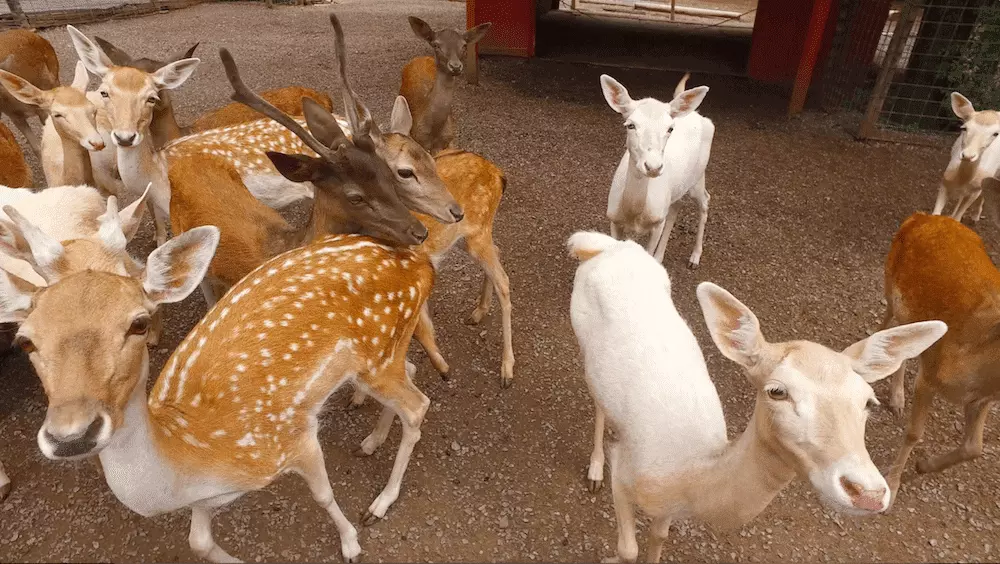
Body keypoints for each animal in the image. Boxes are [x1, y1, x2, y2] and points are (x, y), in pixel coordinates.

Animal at [400, 16, 491, 154]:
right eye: (436, 45)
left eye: (464, 45)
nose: (455, 66)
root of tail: (420, 57)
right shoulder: (419, 138)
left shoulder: (447, 140)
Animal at [568, 231, 947, 563]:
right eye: (777, 391)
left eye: (868, 401)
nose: (868, 494)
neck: (690, 478)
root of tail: (607, 245)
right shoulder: (624, 471)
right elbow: (628, 549)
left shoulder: (667, 510)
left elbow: (658, 537)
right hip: (582, 338)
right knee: (597, 402)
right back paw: (594, 471)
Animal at [601, 73, 714, 269]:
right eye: (630, 125)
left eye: (670, 128)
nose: (653, 167)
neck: (634, 213)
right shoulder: (613, 219)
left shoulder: (657, 223)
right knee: (676, 206)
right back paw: (661, 257)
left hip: (699, 176)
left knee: (705, 201)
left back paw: (695, 258)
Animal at [880, 210, 1000, 508]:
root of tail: (922, 216)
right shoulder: (930, 376)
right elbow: (914, 432)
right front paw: (892, 487)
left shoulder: (981, 398)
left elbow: (974, 447)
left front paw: (923, 465)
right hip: (893, 290)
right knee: (886, 324)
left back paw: (897, 399)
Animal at [931, 92, 1000, 223]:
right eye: (964, 128)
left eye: (995, 133)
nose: (968, 155)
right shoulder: (946, 179)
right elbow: (936, 213)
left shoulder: (976, 190)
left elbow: (959, 216)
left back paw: (975, 216)